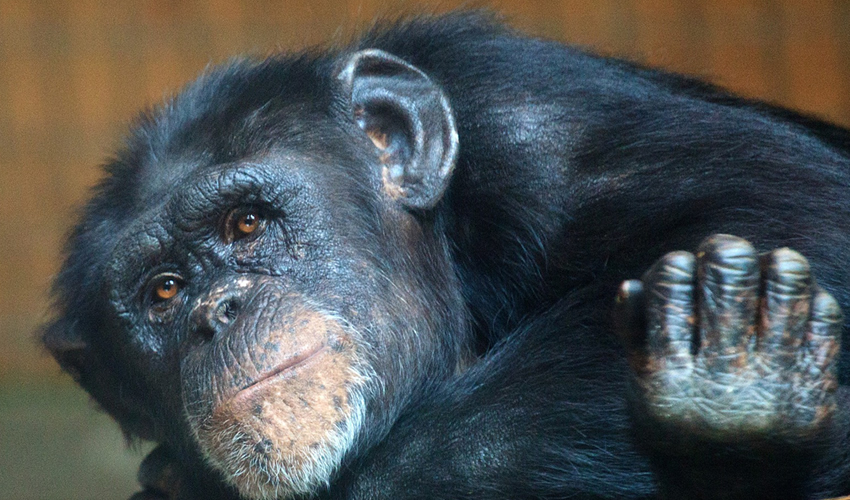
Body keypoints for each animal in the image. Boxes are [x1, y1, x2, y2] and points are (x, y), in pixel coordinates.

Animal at [43, 11, 848, 500]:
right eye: (164, 292)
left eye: (246, 224)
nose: (219, 310)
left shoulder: (531, 117)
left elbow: (795, 216)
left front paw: (726, 401)